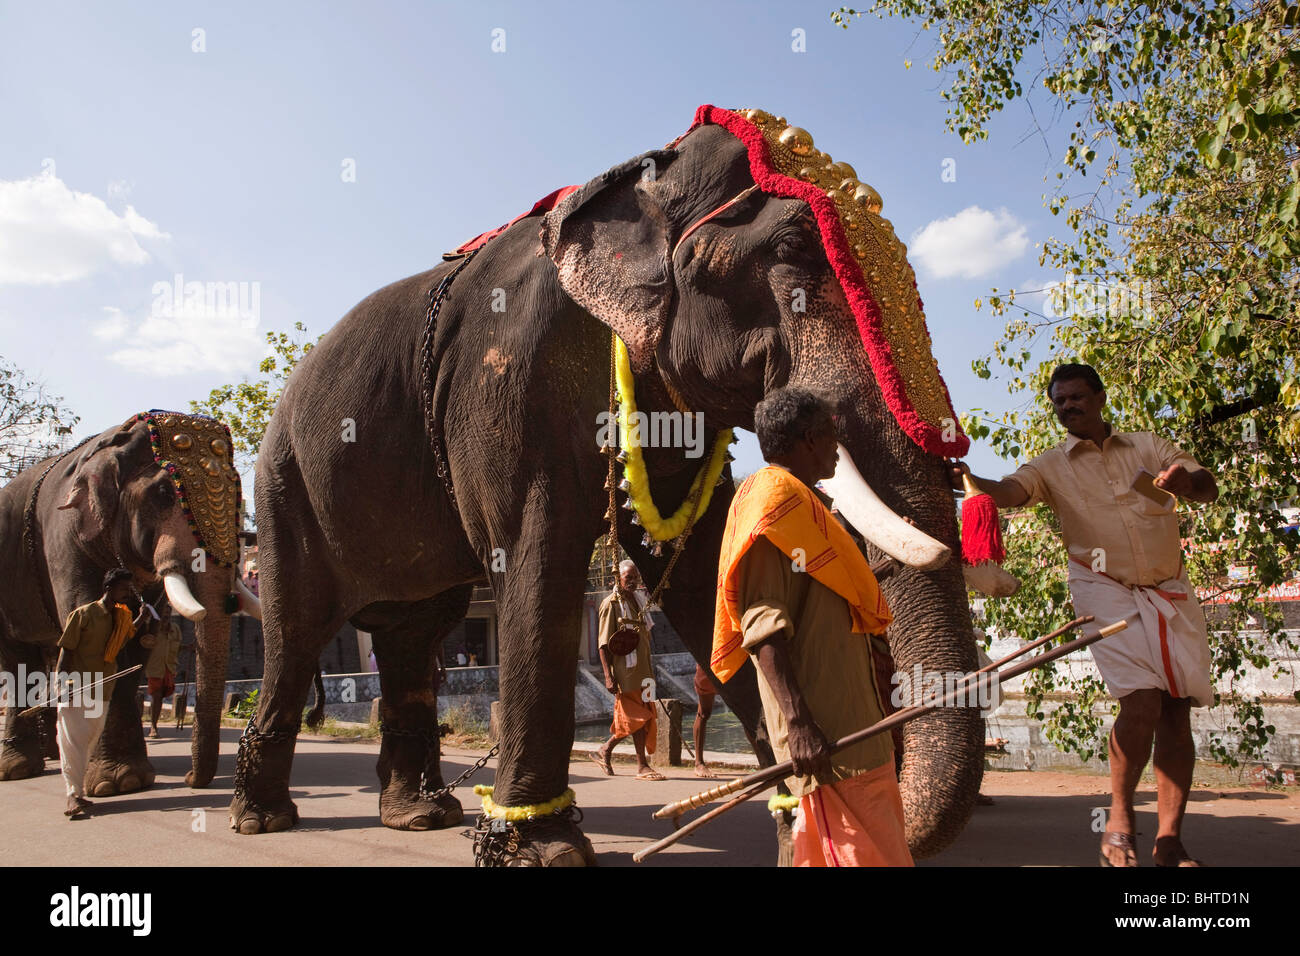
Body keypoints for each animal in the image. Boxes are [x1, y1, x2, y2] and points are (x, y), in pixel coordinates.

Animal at [0, 411, 256, 790]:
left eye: (238, 492)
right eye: (164, 493)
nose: (192, 778)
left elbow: (135, 648)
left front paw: (130, 778)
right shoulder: (64, 537)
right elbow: (97, 639)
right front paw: (117, 782)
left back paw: (51, 755)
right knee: (17, 659)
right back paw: (18, 768)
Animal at [233, 106, 1003, 868]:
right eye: (793, 248)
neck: (648, 175)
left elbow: (705, 573)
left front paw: (792, 822)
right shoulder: (505, 379)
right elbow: (537, 559)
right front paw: (541, 848)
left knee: (413, 633)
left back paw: (419, 814)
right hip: (283, 483)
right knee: (297, 629)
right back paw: (264, 818)